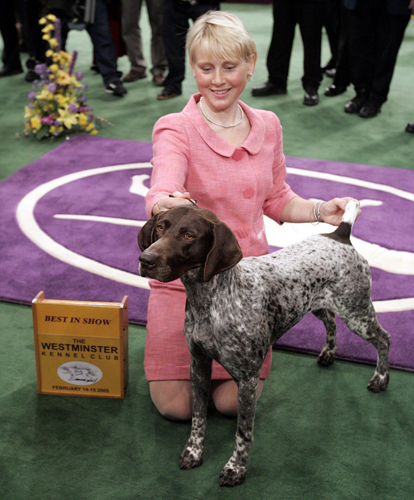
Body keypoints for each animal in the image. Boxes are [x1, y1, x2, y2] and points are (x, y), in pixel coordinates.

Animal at [138, 201, 390, 487]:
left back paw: (381, 378)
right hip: (315, 303)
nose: (146, 259)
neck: (211, 300)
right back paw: (328, 352)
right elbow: (198, 417)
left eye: (189, 235)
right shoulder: (199, 365)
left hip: (357, 313)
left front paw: (236, 469)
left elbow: (243, 432)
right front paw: (193, 452)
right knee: (330, 320)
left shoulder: (248, 379)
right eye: (161, 227)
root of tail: (340, 235)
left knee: (383, 338)